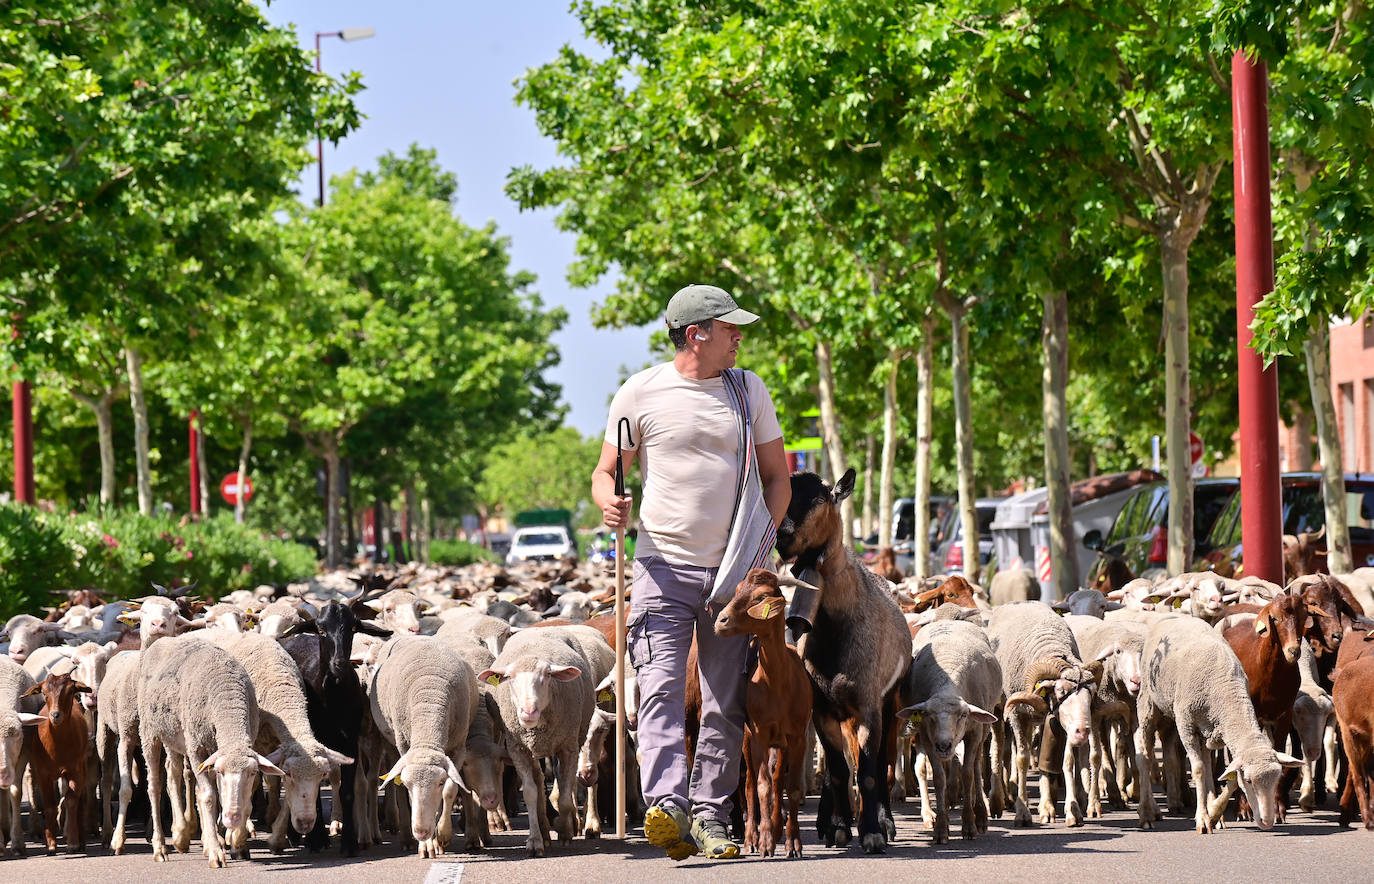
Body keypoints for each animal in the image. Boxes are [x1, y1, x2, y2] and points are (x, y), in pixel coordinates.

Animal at [20, 673, 91, 852]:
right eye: (44, 693)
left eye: (70, 691)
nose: (55, 715)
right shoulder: (43, 773)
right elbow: (49, 805)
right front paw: (51, 844)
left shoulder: (75, 770)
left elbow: (71, 801)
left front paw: (72, 842)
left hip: (82, 765)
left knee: (81, 800)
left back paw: (82, 841)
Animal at [714, 566, 807, 857]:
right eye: (736, 590)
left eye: (761, 597)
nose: (721, 621)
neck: (778, 683)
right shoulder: (759, 734)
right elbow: (762, 786)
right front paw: (765, 842)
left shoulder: (798, 737)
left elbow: (792, 787)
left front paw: (793, 842)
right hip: (747, 739)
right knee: (750, 783)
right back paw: (752, 837)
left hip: (782, 743)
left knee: (778, 781)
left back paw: (777, 830)